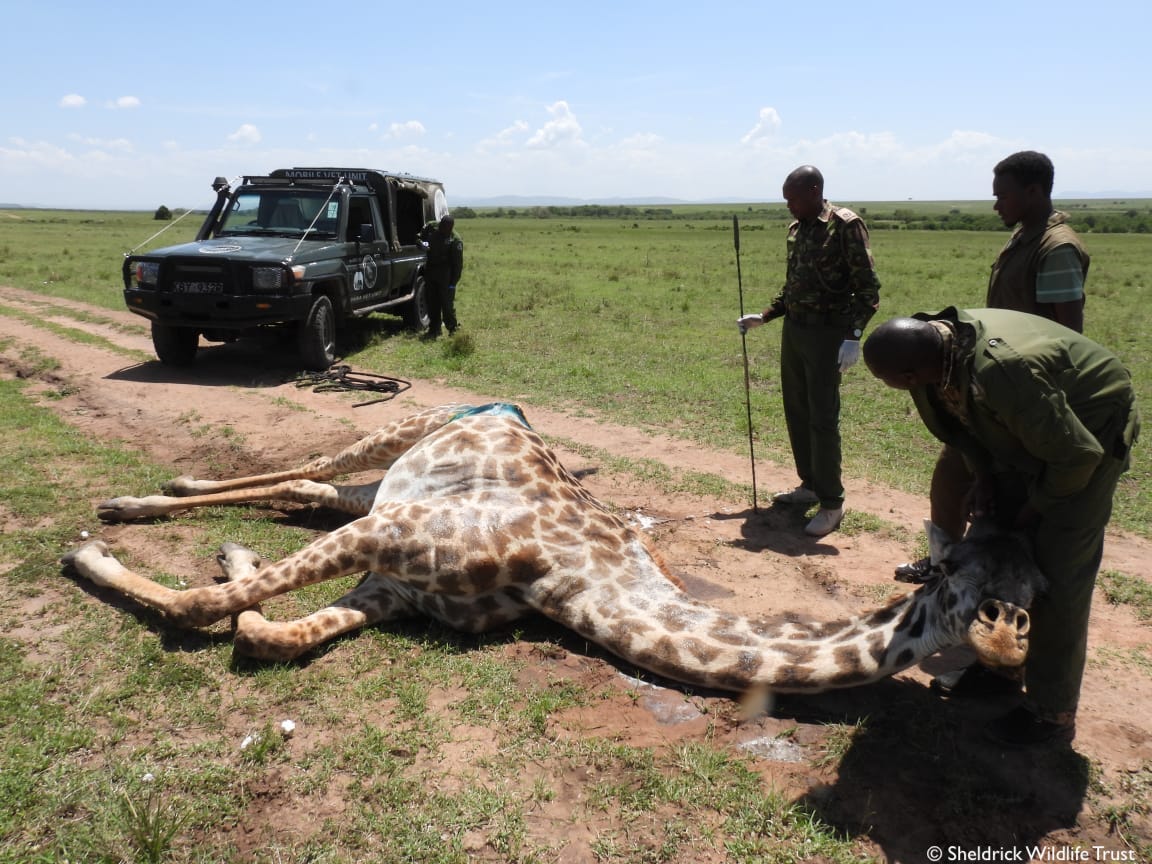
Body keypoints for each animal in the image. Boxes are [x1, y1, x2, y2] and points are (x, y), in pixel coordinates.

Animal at [63, 403, 1045, 694]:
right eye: (967, 560)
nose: (1012, 514)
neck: (579, 582)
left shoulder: (401, 583)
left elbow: (266, 632)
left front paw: (236, 566)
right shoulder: (391, 535)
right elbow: (206, 607)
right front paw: (84, 558)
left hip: (380, 489)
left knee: (307, 489)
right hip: (401, 434)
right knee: (309, 463)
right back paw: (142, 497)